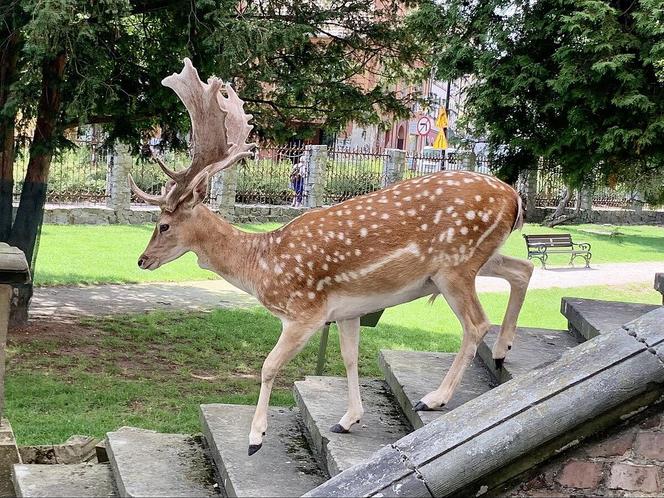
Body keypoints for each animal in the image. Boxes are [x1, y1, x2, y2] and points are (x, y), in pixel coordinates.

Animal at [130, 58, 536, 456]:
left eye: (163, 224)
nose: (141, 260)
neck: (262, 264)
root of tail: (516, 199)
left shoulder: (304, 311)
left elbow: (268, 366)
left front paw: (255, 437)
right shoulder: (347, 310)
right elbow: (349, 356)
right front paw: (348, 419)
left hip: (455, 265)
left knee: (477, 323)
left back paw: (436, 397)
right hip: (480, 255)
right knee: (524, 267)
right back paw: (503, 351)